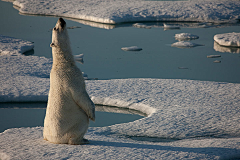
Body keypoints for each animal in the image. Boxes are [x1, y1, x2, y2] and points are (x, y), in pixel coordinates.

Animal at [43, 17, 94, 145]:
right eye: (55, 28)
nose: (60, 19)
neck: (62, 63)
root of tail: (55, 139)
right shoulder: (72, 77)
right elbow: (81, 94)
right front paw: (93, 115)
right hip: (74, 123)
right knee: (82, 122)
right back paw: (82, 140)